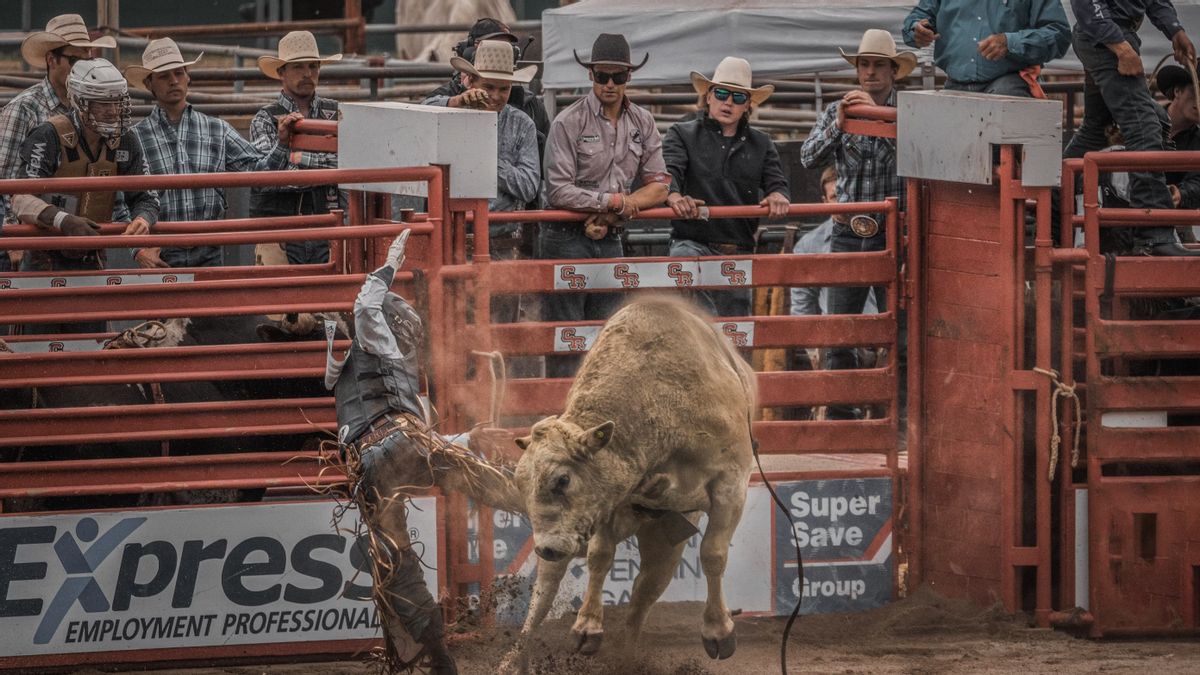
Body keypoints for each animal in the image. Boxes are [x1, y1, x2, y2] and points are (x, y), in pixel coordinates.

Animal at [508, 295, 753, 662]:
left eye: (563, 480)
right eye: (520, 485)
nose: (546, 548)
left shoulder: (731, 483)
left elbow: (713, 554)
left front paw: (718, 632)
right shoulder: (608, 500)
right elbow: (599, 556)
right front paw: (587, 627)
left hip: (666, 541)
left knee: (645, 589)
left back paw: (627, 653)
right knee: (556, 590)